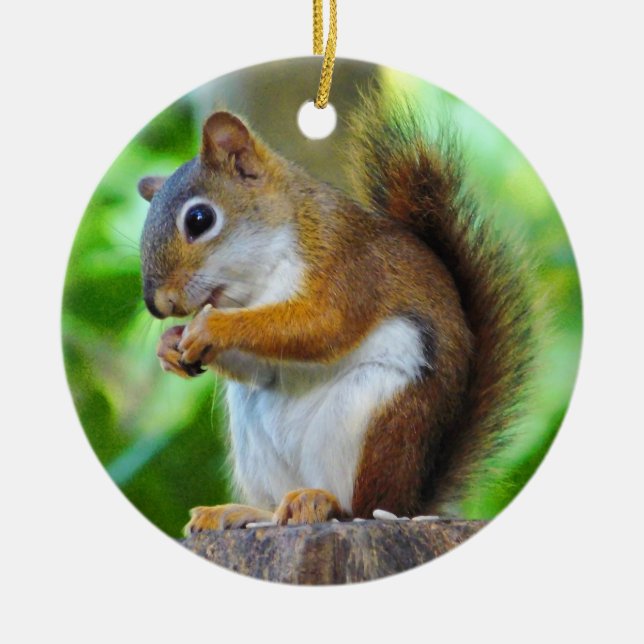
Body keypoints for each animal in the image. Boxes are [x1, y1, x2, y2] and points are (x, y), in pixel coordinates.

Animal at [138, 94, 533, 533]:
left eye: (199, 219)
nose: (158, 304)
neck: (259, 279)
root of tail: (409, 501)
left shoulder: (347, 262)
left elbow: (324, 326)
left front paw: (211, 327)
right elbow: (264, 365)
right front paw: (169, 345)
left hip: (369, 410)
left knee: (359, 506)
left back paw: (322, 501)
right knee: (275, 506)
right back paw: (242, 511)